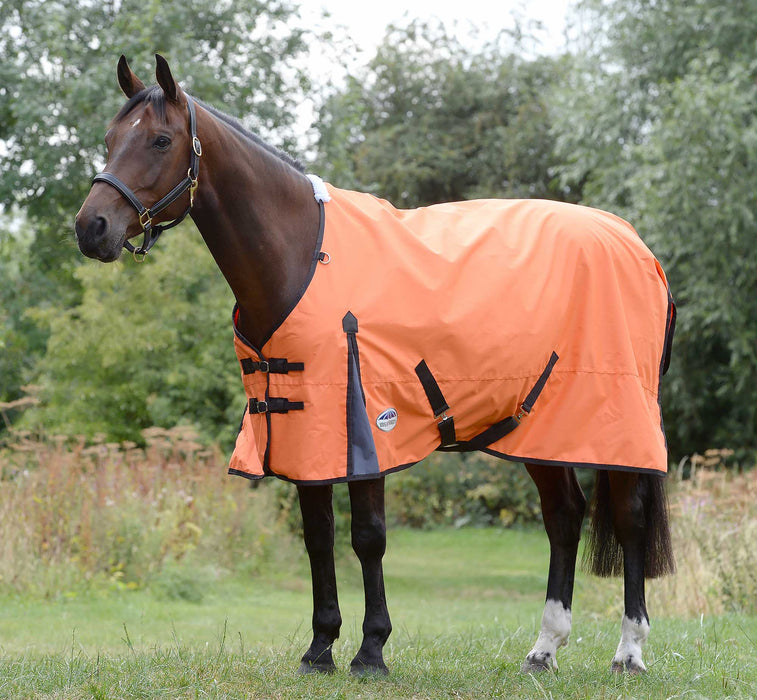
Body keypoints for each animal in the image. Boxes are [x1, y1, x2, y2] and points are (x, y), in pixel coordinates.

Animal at [75, 55, 675, 676]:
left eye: (160, 139)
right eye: (110, 138)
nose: (91, 228)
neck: (302, 255)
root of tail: (634, 242)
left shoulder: (366, 423)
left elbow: (367, 537)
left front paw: (371, 650)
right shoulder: (303, 427)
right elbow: (318, 537)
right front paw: (319, 648)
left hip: (616, 420)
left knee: (629, 518)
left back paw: (629, 652)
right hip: (539, 424)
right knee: (564, 515)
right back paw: (544, 649)